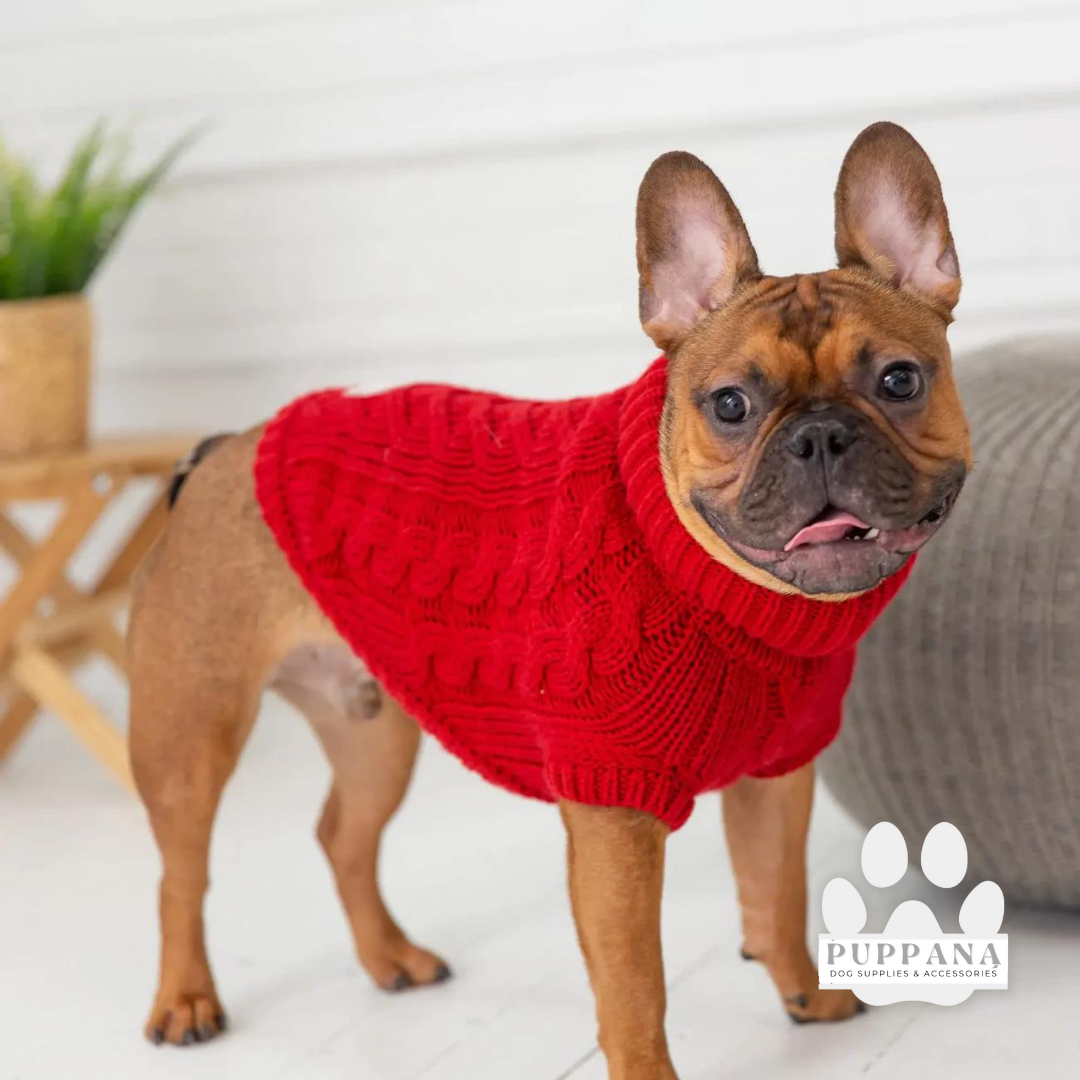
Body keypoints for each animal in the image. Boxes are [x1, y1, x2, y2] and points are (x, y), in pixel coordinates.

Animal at [128, 120, 972, 1080]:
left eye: (901, 381)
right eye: (730, 403)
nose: (820, 435)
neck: (709, 579)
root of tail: (225, 450)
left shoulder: (775, 776)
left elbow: (776, 887)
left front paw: (804, 994)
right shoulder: (614, 820)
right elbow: (635, 986)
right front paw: (650, 1070)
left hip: (373, 734)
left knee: (344, 835)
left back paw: (390, 958)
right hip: (189, 732)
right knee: (181, 872)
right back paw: (185, 999)